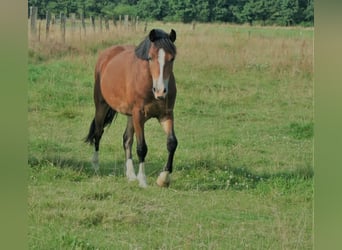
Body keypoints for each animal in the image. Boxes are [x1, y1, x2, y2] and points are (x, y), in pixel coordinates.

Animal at [85, 28, 178, 188]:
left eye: (171, 59)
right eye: (150, 57)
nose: (160, 91)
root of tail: (106, 55)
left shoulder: (166, 114)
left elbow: (172, 143)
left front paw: (163, 178)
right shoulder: (139, 115)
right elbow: (142, 148)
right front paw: (143, 180)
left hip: (131, 116)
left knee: (127, 139)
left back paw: (130, 175)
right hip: (102, 106)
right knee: (98, 133)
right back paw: (96, 166)